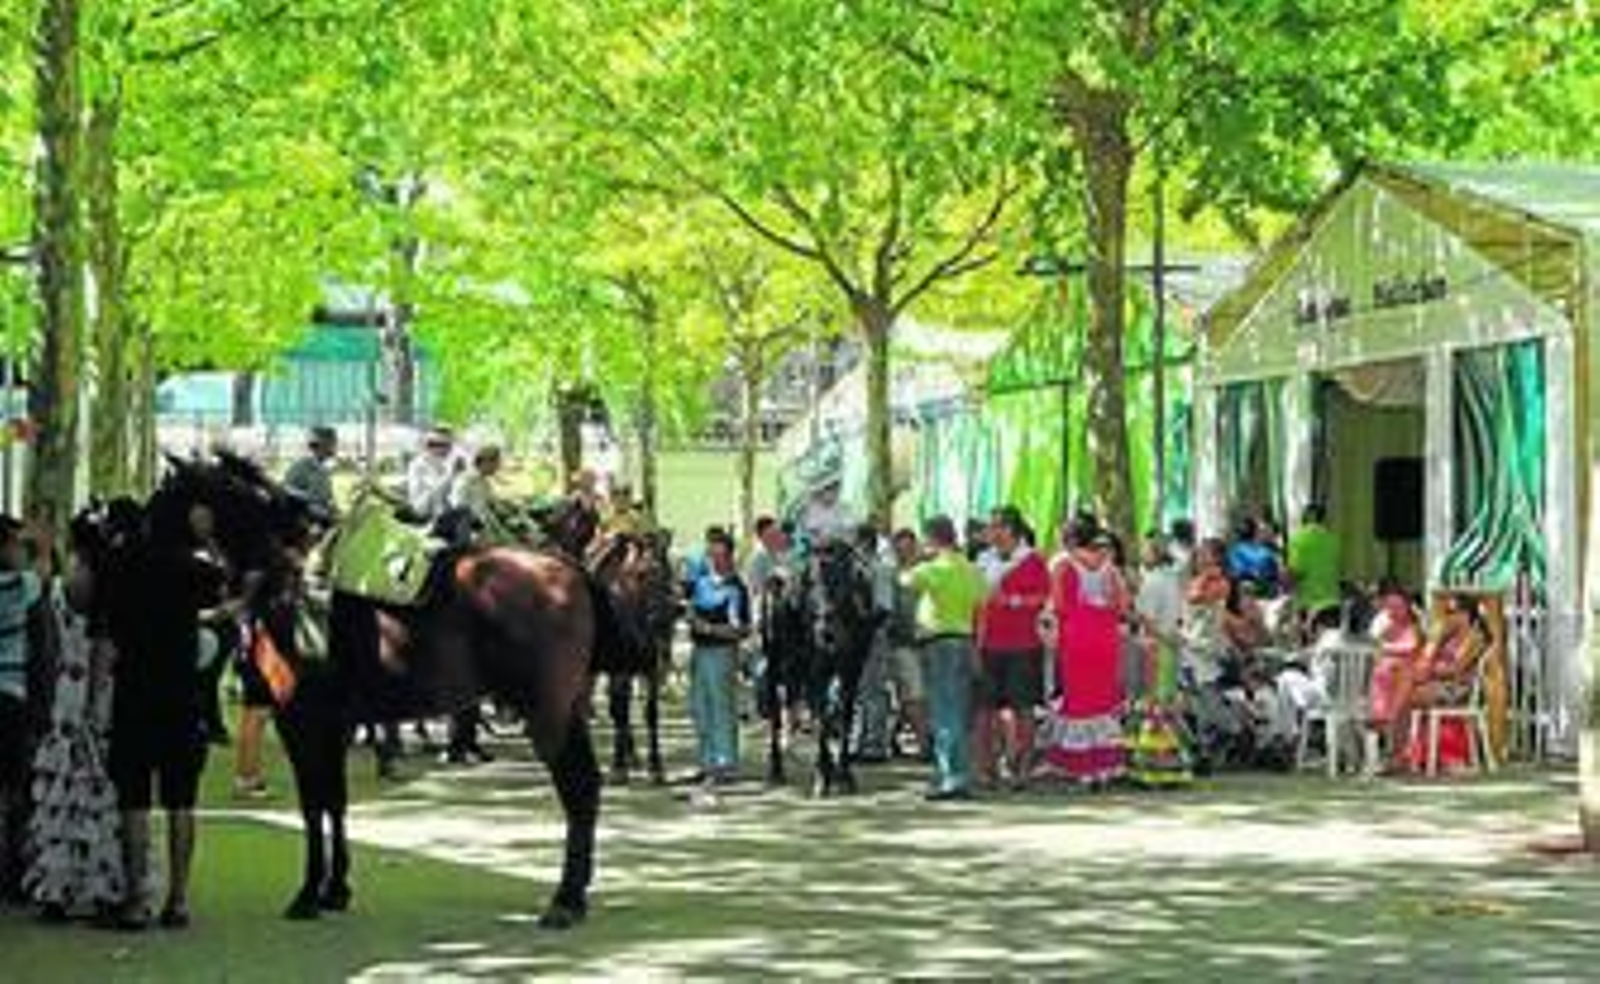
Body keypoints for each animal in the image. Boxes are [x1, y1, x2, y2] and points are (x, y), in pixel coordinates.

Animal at [161, 454, 614, 930]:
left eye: (167, 495)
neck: (288, 582)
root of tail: (570, 571)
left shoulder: (299, 721)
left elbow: (313, 804)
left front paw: (308, 893)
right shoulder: (334, 725)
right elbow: (334, 801)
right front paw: (335, 889)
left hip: (548, 715)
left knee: (579, 787)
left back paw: (565, 899)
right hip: (568, 710)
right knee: (587, 787)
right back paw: (574, 894)